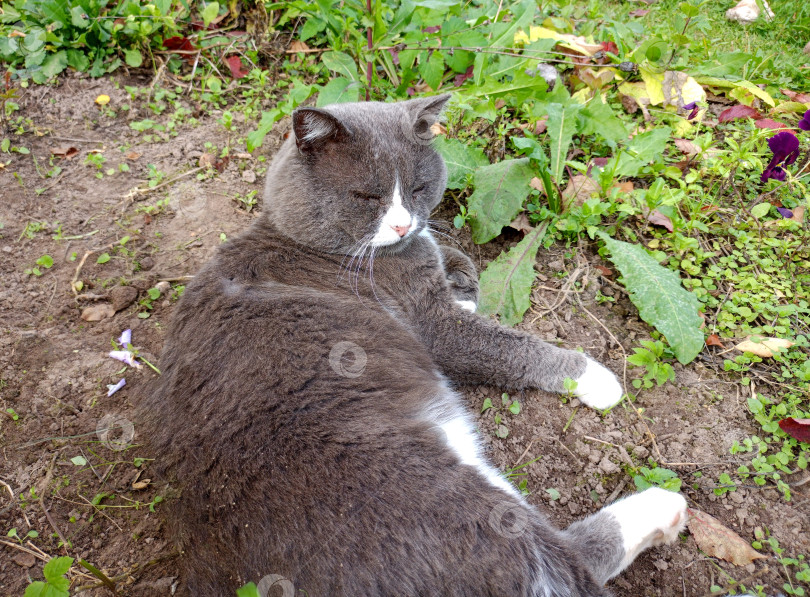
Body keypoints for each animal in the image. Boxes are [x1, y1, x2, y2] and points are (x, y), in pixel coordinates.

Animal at [137, 95, 680, 592]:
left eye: (418, 187)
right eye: (365, 196)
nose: (402, 224)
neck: (300, 240)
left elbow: (456, 259)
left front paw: (463, 281)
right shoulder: (430, 323)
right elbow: (509, 346)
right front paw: (595, 376)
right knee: (566, 560)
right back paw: (663, 505)